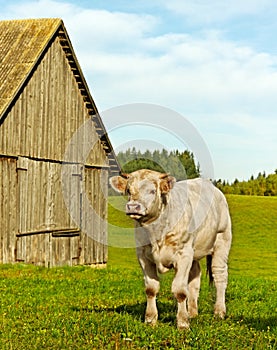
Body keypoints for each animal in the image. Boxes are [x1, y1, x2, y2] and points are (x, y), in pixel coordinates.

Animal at [109, 171, 231, 330]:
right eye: (129, 191)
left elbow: (180, 291)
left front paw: (183, 323)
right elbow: (151, 289)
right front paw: (150, 319)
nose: (133, 206)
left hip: (222, 241)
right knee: (194, 279)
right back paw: (192, 313)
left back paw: (219, 312)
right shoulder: (143, 256)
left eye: (152, 191)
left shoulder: (183, 255)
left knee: (219, 277)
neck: (156, 233)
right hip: (194, 252)